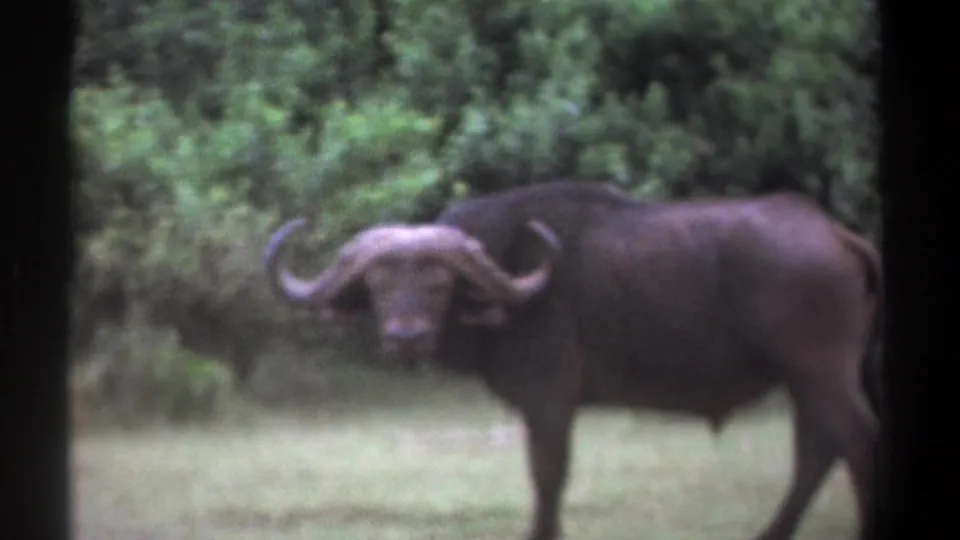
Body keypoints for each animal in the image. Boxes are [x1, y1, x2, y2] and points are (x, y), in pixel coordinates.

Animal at [264, 182, 883, 540]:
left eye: (439, 284)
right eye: (379, 284)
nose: (405, 336)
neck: (515, 286)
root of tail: (835, 233)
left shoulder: (549, 401)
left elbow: (547, 476)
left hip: (820, 371)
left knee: (854, 440)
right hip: (805, 380)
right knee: (817, 450)